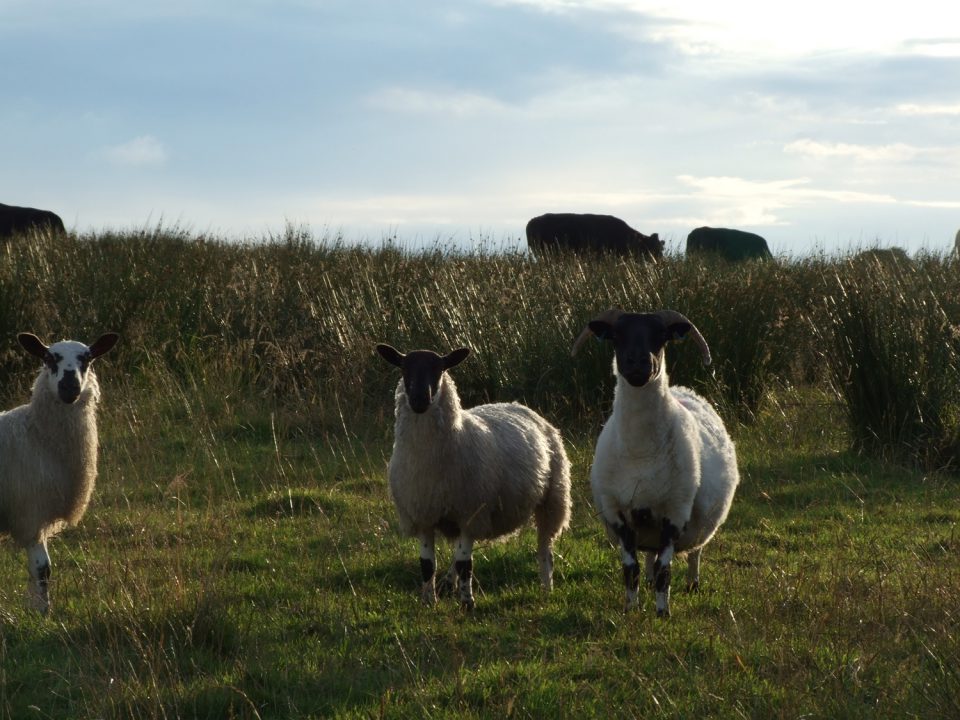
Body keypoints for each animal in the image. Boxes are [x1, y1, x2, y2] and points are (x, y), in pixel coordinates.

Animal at [0, 332, 119, 612]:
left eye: (87, 359)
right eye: (48, 358)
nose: (69, 387)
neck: (36, 433)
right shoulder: (30, 512)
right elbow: (42, 569)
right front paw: (43, 612)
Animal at [376, 344, 568, 608]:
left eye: (439, 369)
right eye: (404, 369)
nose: (419, 399)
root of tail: (519, 405)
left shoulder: (470, 513)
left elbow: (465, 564)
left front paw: (467, 603)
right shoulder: (423, 514)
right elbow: (427, 565)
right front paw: (429, 601)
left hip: (552, 499)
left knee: (545, 549)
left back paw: (546, 588)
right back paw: (447, 583)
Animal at [572, 306, 740, 616]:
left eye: (661, 337)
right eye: (616, 336)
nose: (638, 363)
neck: (641, 452)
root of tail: (685, 390)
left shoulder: (675, 513)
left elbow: (665, 569)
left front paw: (662, 613)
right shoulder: (619, 513)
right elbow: (631, 569)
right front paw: (630, 609)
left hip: (698, 523)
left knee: (694, 553)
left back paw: (692, 583)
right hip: (646, 525)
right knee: (649, 556)